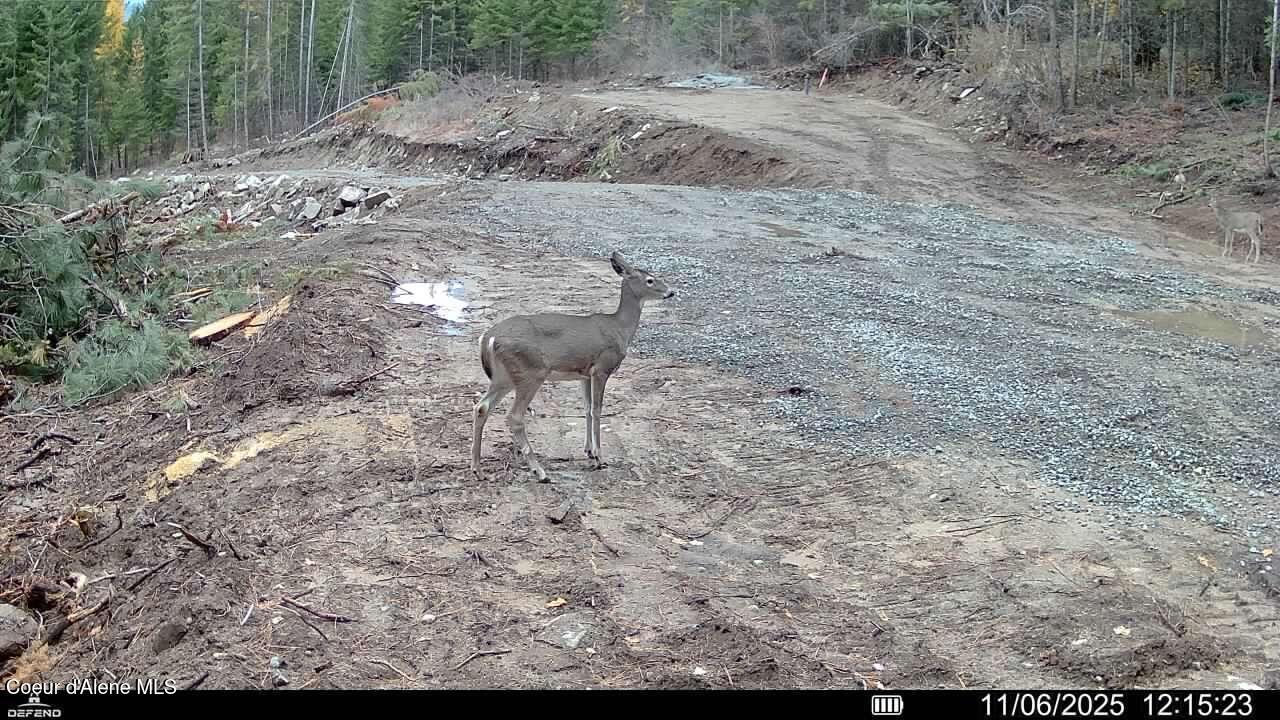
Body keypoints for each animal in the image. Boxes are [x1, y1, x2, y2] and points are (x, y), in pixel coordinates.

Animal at [470, 251, 676, 481]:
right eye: (650, 280)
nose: (671, 292)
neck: (619, 329)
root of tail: (488, 338)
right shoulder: (601, 368)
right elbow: (597, 409)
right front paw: (599, 457)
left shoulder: (584, 374)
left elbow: (586, 407)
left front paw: (588, 451)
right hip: (530, 372)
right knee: (514, 416)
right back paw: (539, 471)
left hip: (504, 377)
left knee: (481, 407)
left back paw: (477, 469)